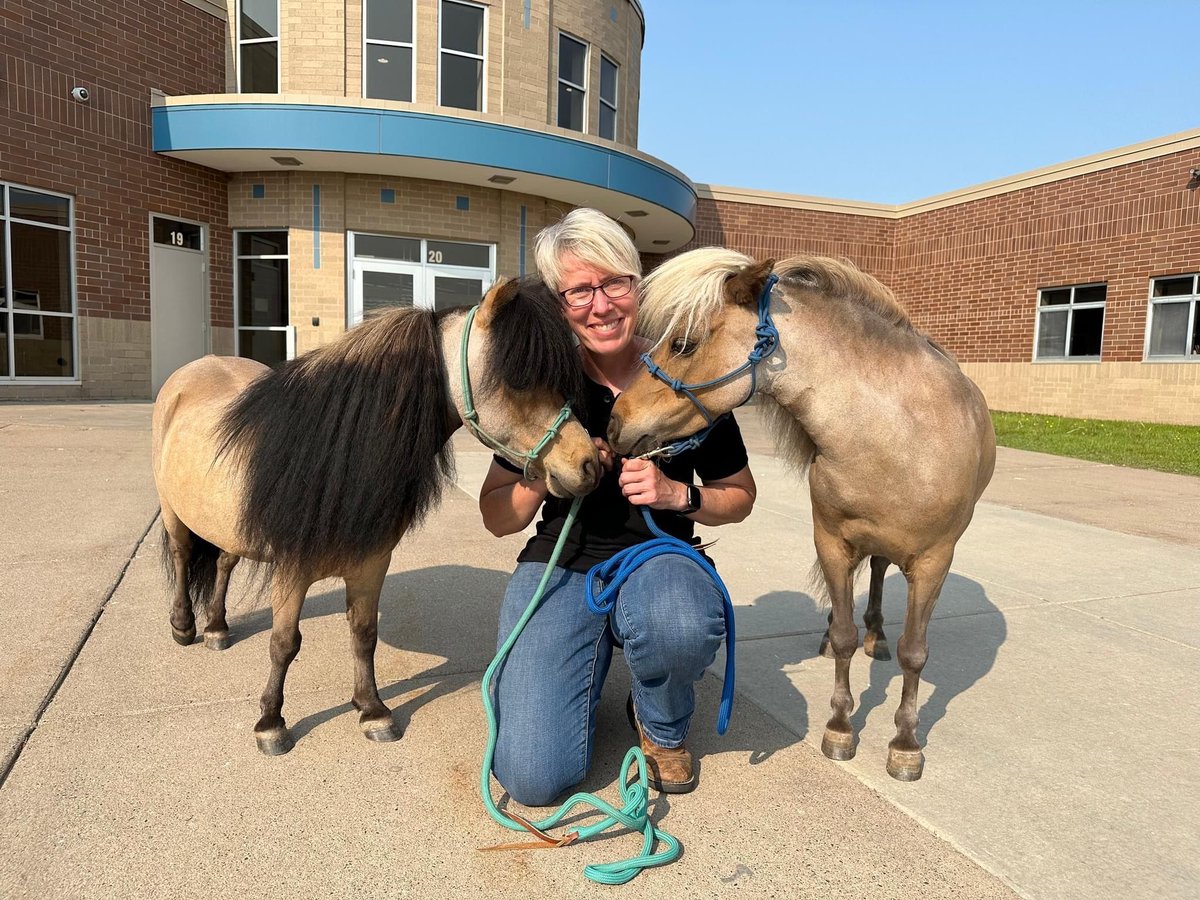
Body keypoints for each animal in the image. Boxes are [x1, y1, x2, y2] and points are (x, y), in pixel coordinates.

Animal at [152, 277, 600, 755]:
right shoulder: (292, 570)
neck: (332, 458)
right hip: (174, 514)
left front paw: (372, 711)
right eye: (519, 379)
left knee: (224, 561)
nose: (590, 464)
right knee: (182, 555)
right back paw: (184, 626)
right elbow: (283, 643)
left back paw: (217, 628)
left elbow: (363, 636)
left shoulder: (370, 564)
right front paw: (271, 723)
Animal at [607, 249, 995, 781]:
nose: (614, 422)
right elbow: (846, 637)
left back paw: (879, 637)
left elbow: (915, 654)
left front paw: (905, 743)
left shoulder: (935, 560)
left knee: (880, 574)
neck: (896, 437)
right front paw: (840, 727)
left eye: (684, 343)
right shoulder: (831, 543)